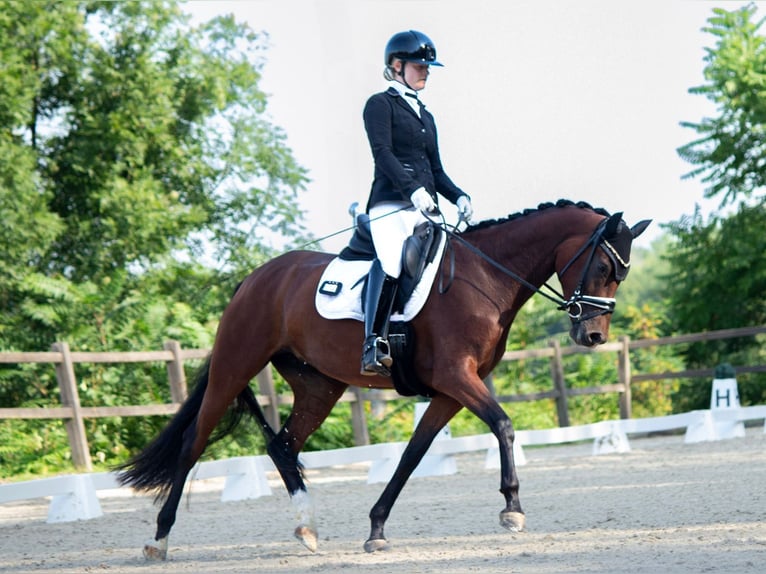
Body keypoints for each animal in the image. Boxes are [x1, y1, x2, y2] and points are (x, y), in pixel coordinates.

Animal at [116, 199, 650, 560]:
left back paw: (308, 529)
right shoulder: (457, 376)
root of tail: (253, 278)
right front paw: (512, 508)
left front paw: (376, 529)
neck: (484, 278)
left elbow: (414, 453)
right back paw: (159, 540)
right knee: (194, 442)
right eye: (604, 265)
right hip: (235, 365)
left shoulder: (450, 390)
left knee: (282, 446)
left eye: (621, 274)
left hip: (319, 385)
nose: (594, 335)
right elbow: (503, 425)